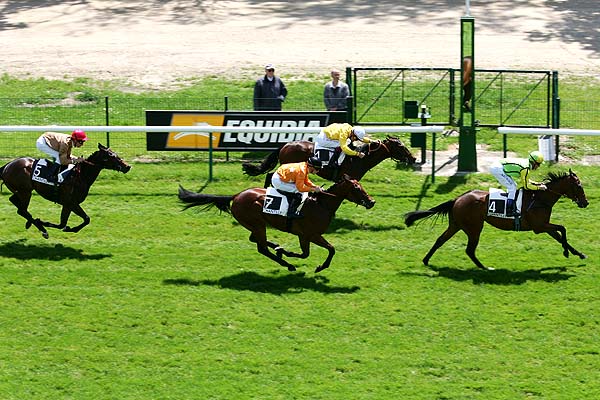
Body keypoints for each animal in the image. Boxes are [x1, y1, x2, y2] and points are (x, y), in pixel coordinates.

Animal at [0, 143, 131, 238]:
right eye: (111, 156)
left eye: (116, 154)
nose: (127, 166)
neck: (80, 176)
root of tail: (7, 165)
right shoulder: (70, 203)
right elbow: (71, 222)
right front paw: (43, 222)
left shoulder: (70, 204)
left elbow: (81, 220)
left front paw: (70, 228)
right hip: (25, 192)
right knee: (21, 210)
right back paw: (42, 229)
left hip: (21, 191)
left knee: (16, 204)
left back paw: (31, 223)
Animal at [178, 174, 376, 272]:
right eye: (357, 188)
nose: (371, 202)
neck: (321, 204)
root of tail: (236, 196)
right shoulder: (309, 235)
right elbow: (323, 251)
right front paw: (319, 267)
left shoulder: (307, 236)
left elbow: (317, 252)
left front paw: (284, 251)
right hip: (257, 223)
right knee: (261, 248)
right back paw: (287, 263)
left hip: (256, 224)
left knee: (255, 240)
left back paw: (277, 248)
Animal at [241, 135, 414, 184]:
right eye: (401, 146)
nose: (413, 158)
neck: (359, 159)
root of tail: (285, 144)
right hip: (288, 166)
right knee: (271, 176)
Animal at [406, 170, 588, 270]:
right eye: (579, 186)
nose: (585, 203)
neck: (540, 198)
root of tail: (457, 198)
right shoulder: (539, 226)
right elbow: (562, 228)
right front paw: (566, 252)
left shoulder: (544, 226)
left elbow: (560, 235)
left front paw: (578, 253)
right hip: (474, 228)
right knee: (469, 250)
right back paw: (485, 267)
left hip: (457, 225)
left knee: (440, 240)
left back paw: (426, 260)